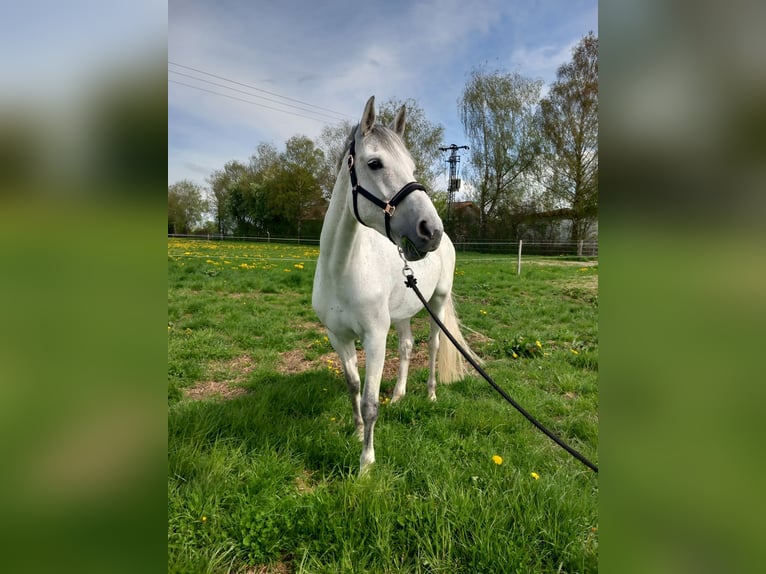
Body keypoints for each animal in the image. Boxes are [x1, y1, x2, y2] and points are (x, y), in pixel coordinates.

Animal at [316, 95, 476, 476]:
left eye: (412, 166)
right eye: (375, 163)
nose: (430, 230)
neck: (341, 269)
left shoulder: (374, 337)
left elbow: (370, 401)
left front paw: (365, 465)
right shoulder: (338, 336)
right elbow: (353, 387)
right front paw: (357, 432)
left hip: (437, 302)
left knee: (432, 346)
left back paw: (430, 394)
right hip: (402, 313)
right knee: (406, 346)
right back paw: (400, 395)